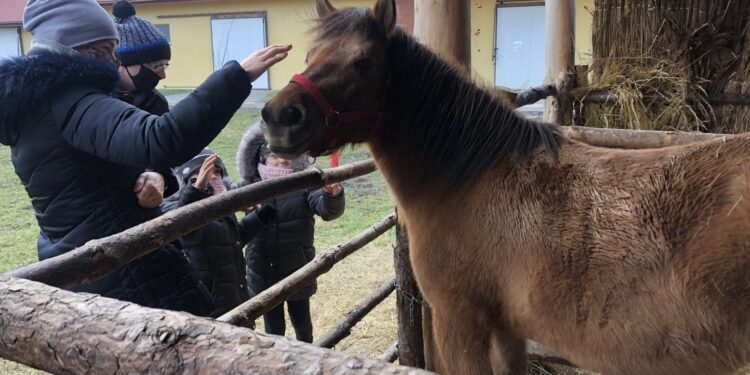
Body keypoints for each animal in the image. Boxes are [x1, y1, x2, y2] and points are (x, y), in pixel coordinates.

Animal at [262, 1, 750, 374]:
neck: (467, 177)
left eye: (364, 62)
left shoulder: (460, 320)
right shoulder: (507, 329)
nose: (278, 117)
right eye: (309, 56)